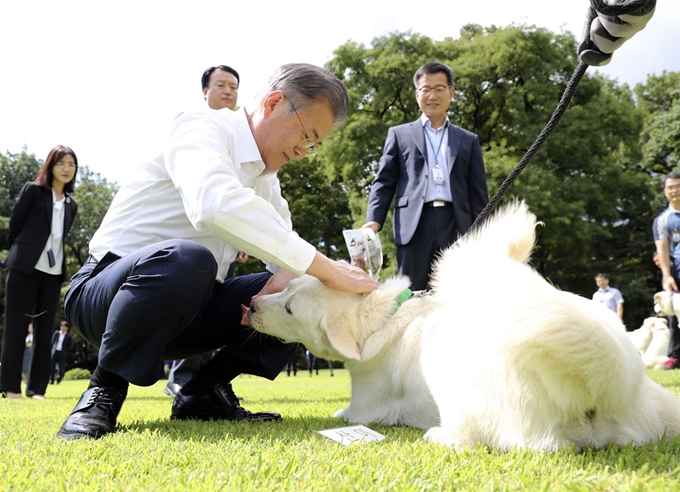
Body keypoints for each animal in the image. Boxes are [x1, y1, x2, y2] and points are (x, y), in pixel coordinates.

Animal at [248, 200, 680, 450]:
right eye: (290, 287)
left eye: (290, 309)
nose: (251, 303)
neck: (383, 320)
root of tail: (604, 386)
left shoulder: (362, 409)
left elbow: (346, 414)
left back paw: (438, 435)